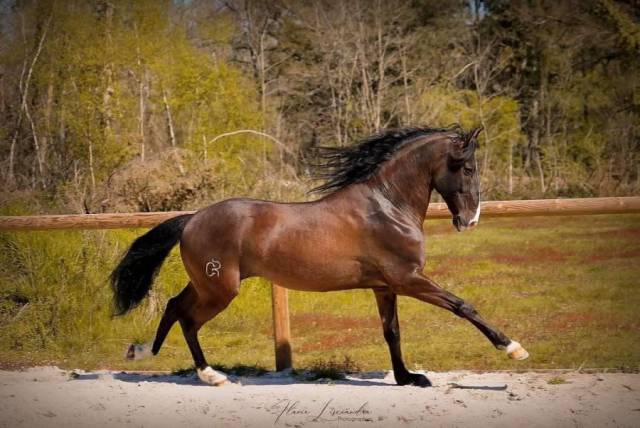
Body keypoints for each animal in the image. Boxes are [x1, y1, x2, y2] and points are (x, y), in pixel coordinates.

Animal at [110, 125, 529, 387]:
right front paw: (513, 348)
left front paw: (408, 378)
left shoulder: (385, 287)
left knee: (173, 306)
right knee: (188, 319)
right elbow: (463, 305)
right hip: (219, 290)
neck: (388, 206)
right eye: (468, 167)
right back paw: (209, 374)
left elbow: (391, 331)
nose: (470, 220)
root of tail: (192, 219)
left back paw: (141, 353)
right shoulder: (408, 279)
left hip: (208, 284)